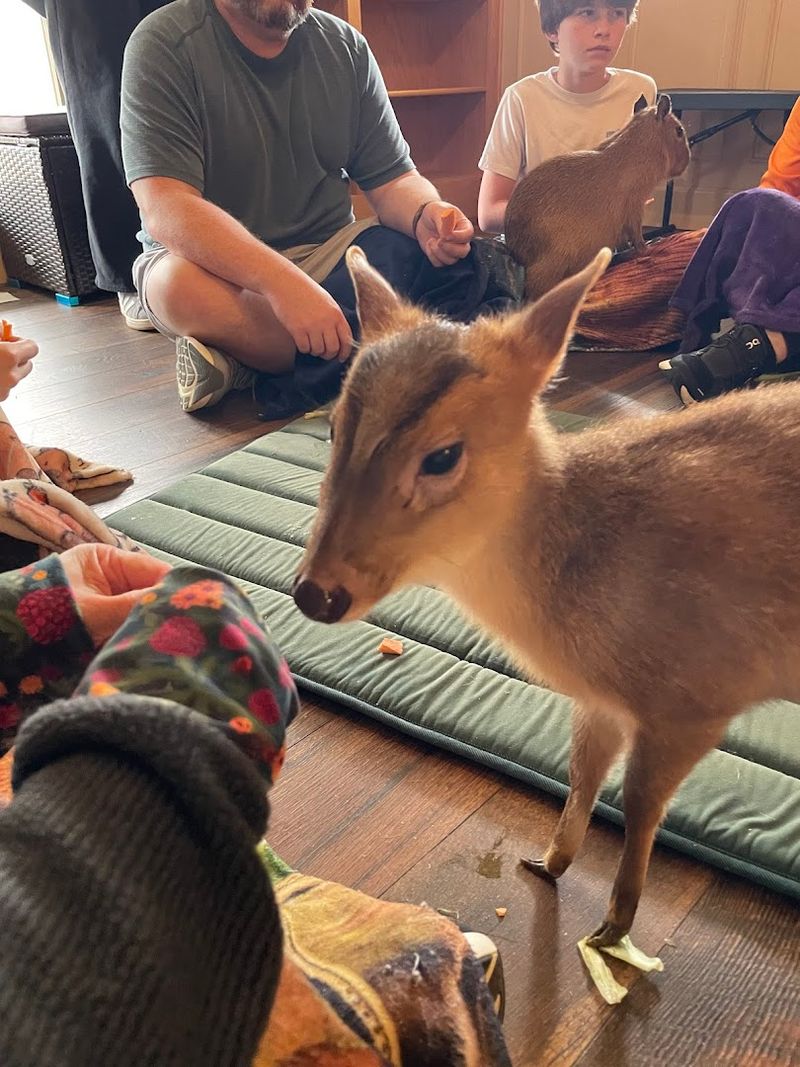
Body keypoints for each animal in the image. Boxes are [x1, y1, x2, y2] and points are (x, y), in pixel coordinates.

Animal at [292, 244, 800, 949]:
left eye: (443, 455)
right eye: (336, 426)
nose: (315, 594)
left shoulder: (697, 697)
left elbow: (640, 802)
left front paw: (613, 928)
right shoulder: (603, 700)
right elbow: (582, 772)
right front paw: (549, 863)